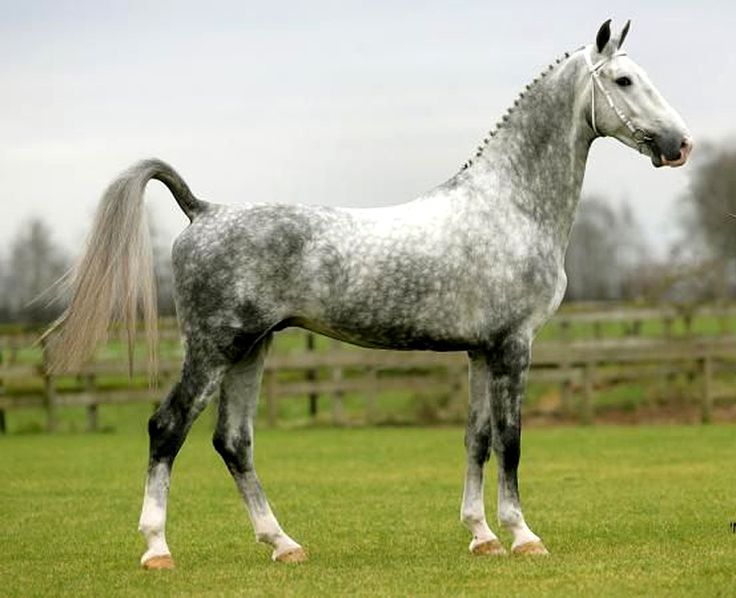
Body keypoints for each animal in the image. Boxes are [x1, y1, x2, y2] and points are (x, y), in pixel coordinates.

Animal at [44, 19, 688, 572]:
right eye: (625, 80)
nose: (679, 144)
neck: (509, 206)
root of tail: (202, 209)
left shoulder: (480, 351)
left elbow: (476, 438)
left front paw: (481, 536)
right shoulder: (513, 346)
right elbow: (510, 441)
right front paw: (523, 536)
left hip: (251, 348)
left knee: (233, 441)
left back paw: (283, 544)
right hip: (213, 347)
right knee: (167, 427)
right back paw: (157, 548)